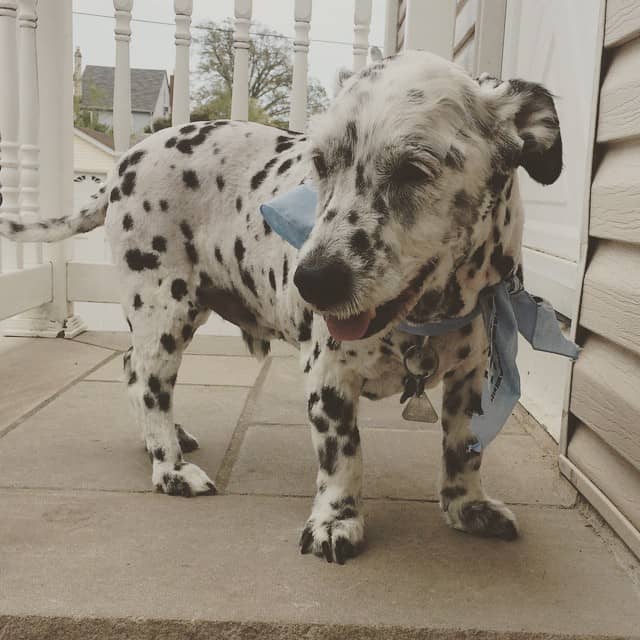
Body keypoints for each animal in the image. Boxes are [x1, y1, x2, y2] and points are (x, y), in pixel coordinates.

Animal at [0, 50, 560, 564]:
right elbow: (343, 457)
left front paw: (467, 506)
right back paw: (170, 466)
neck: (427, 319)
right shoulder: (328, 377)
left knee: (132, 371)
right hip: (163, 308)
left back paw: (165, 441)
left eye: (415, 169)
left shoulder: (471, 377)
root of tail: (123, 164)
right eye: (321, 163)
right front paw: (337, 520)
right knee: (148, 381)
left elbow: (463, 451)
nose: (311, 281)